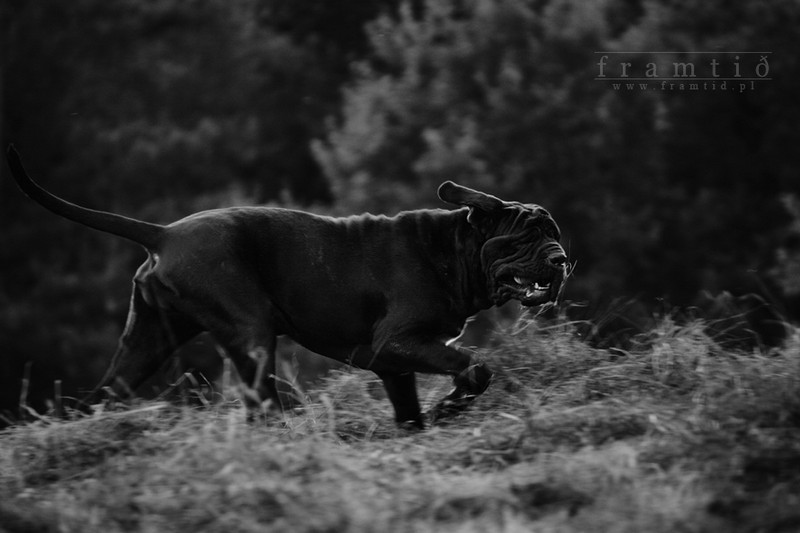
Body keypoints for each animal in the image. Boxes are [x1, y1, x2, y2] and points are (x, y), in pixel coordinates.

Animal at [6, 146, 567, 428]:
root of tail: (163, 233)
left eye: (555, 233)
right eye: (525, 236)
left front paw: (431, 421)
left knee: (102, 393)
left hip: (147, 341)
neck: (451, 250)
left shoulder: (393, 362)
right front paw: (452, 403)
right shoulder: (400, 343)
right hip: (251, 334)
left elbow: (410, 408)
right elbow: (476, 366)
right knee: (263, 403)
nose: (560, 259)